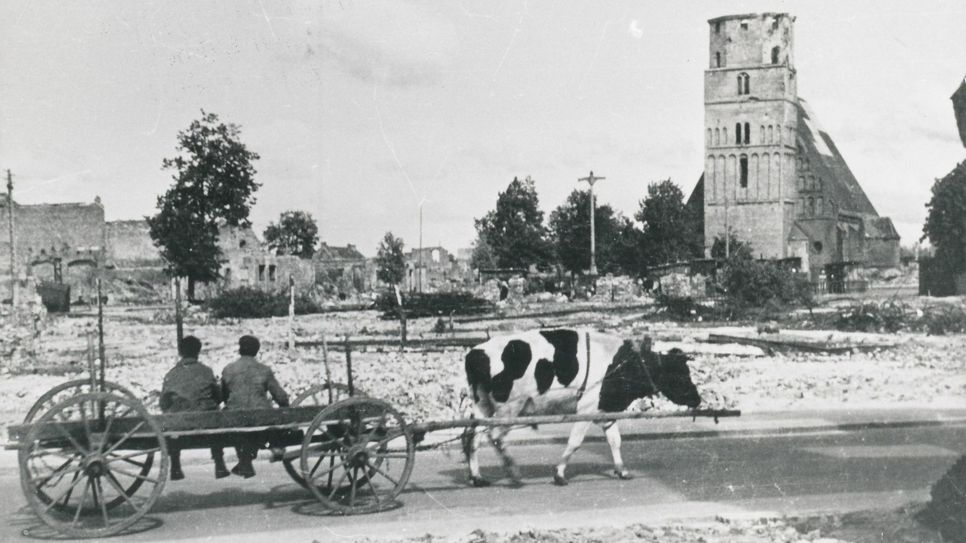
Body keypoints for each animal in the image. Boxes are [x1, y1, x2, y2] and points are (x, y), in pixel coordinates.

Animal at [464, 330, 700, 486]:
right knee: (495, 436)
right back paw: (513, 473)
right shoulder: (586, 409)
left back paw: (478, 477)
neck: (622, 363)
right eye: (681, 373)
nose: (697, 399)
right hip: (509, 408)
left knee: (474, 436)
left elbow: (615, 440)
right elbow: (575, 442)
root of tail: (475, 353)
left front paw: (622, 471)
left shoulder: (605, 410)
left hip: (482, 405)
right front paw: (559, 474)